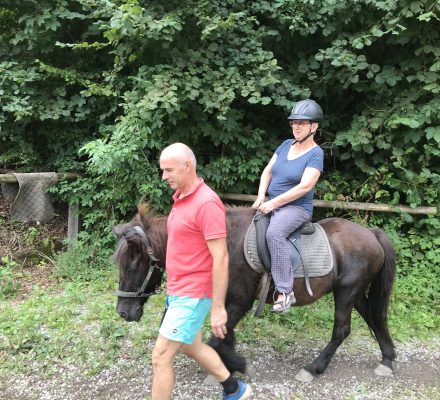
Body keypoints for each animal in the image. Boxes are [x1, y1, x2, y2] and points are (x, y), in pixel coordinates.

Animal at [112, 206, 396, 382]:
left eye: (134, 266)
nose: (123, 312)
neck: (221, 247)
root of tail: (371, 234)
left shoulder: (240, 301)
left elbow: (217, 341)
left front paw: (237, 366)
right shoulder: (227, 302)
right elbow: (224, 337)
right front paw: (226, 368)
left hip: (347, 293)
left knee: (341, 331)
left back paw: (313, 368)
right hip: (354, 294)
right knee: (375, 319)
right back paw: (387, 359)